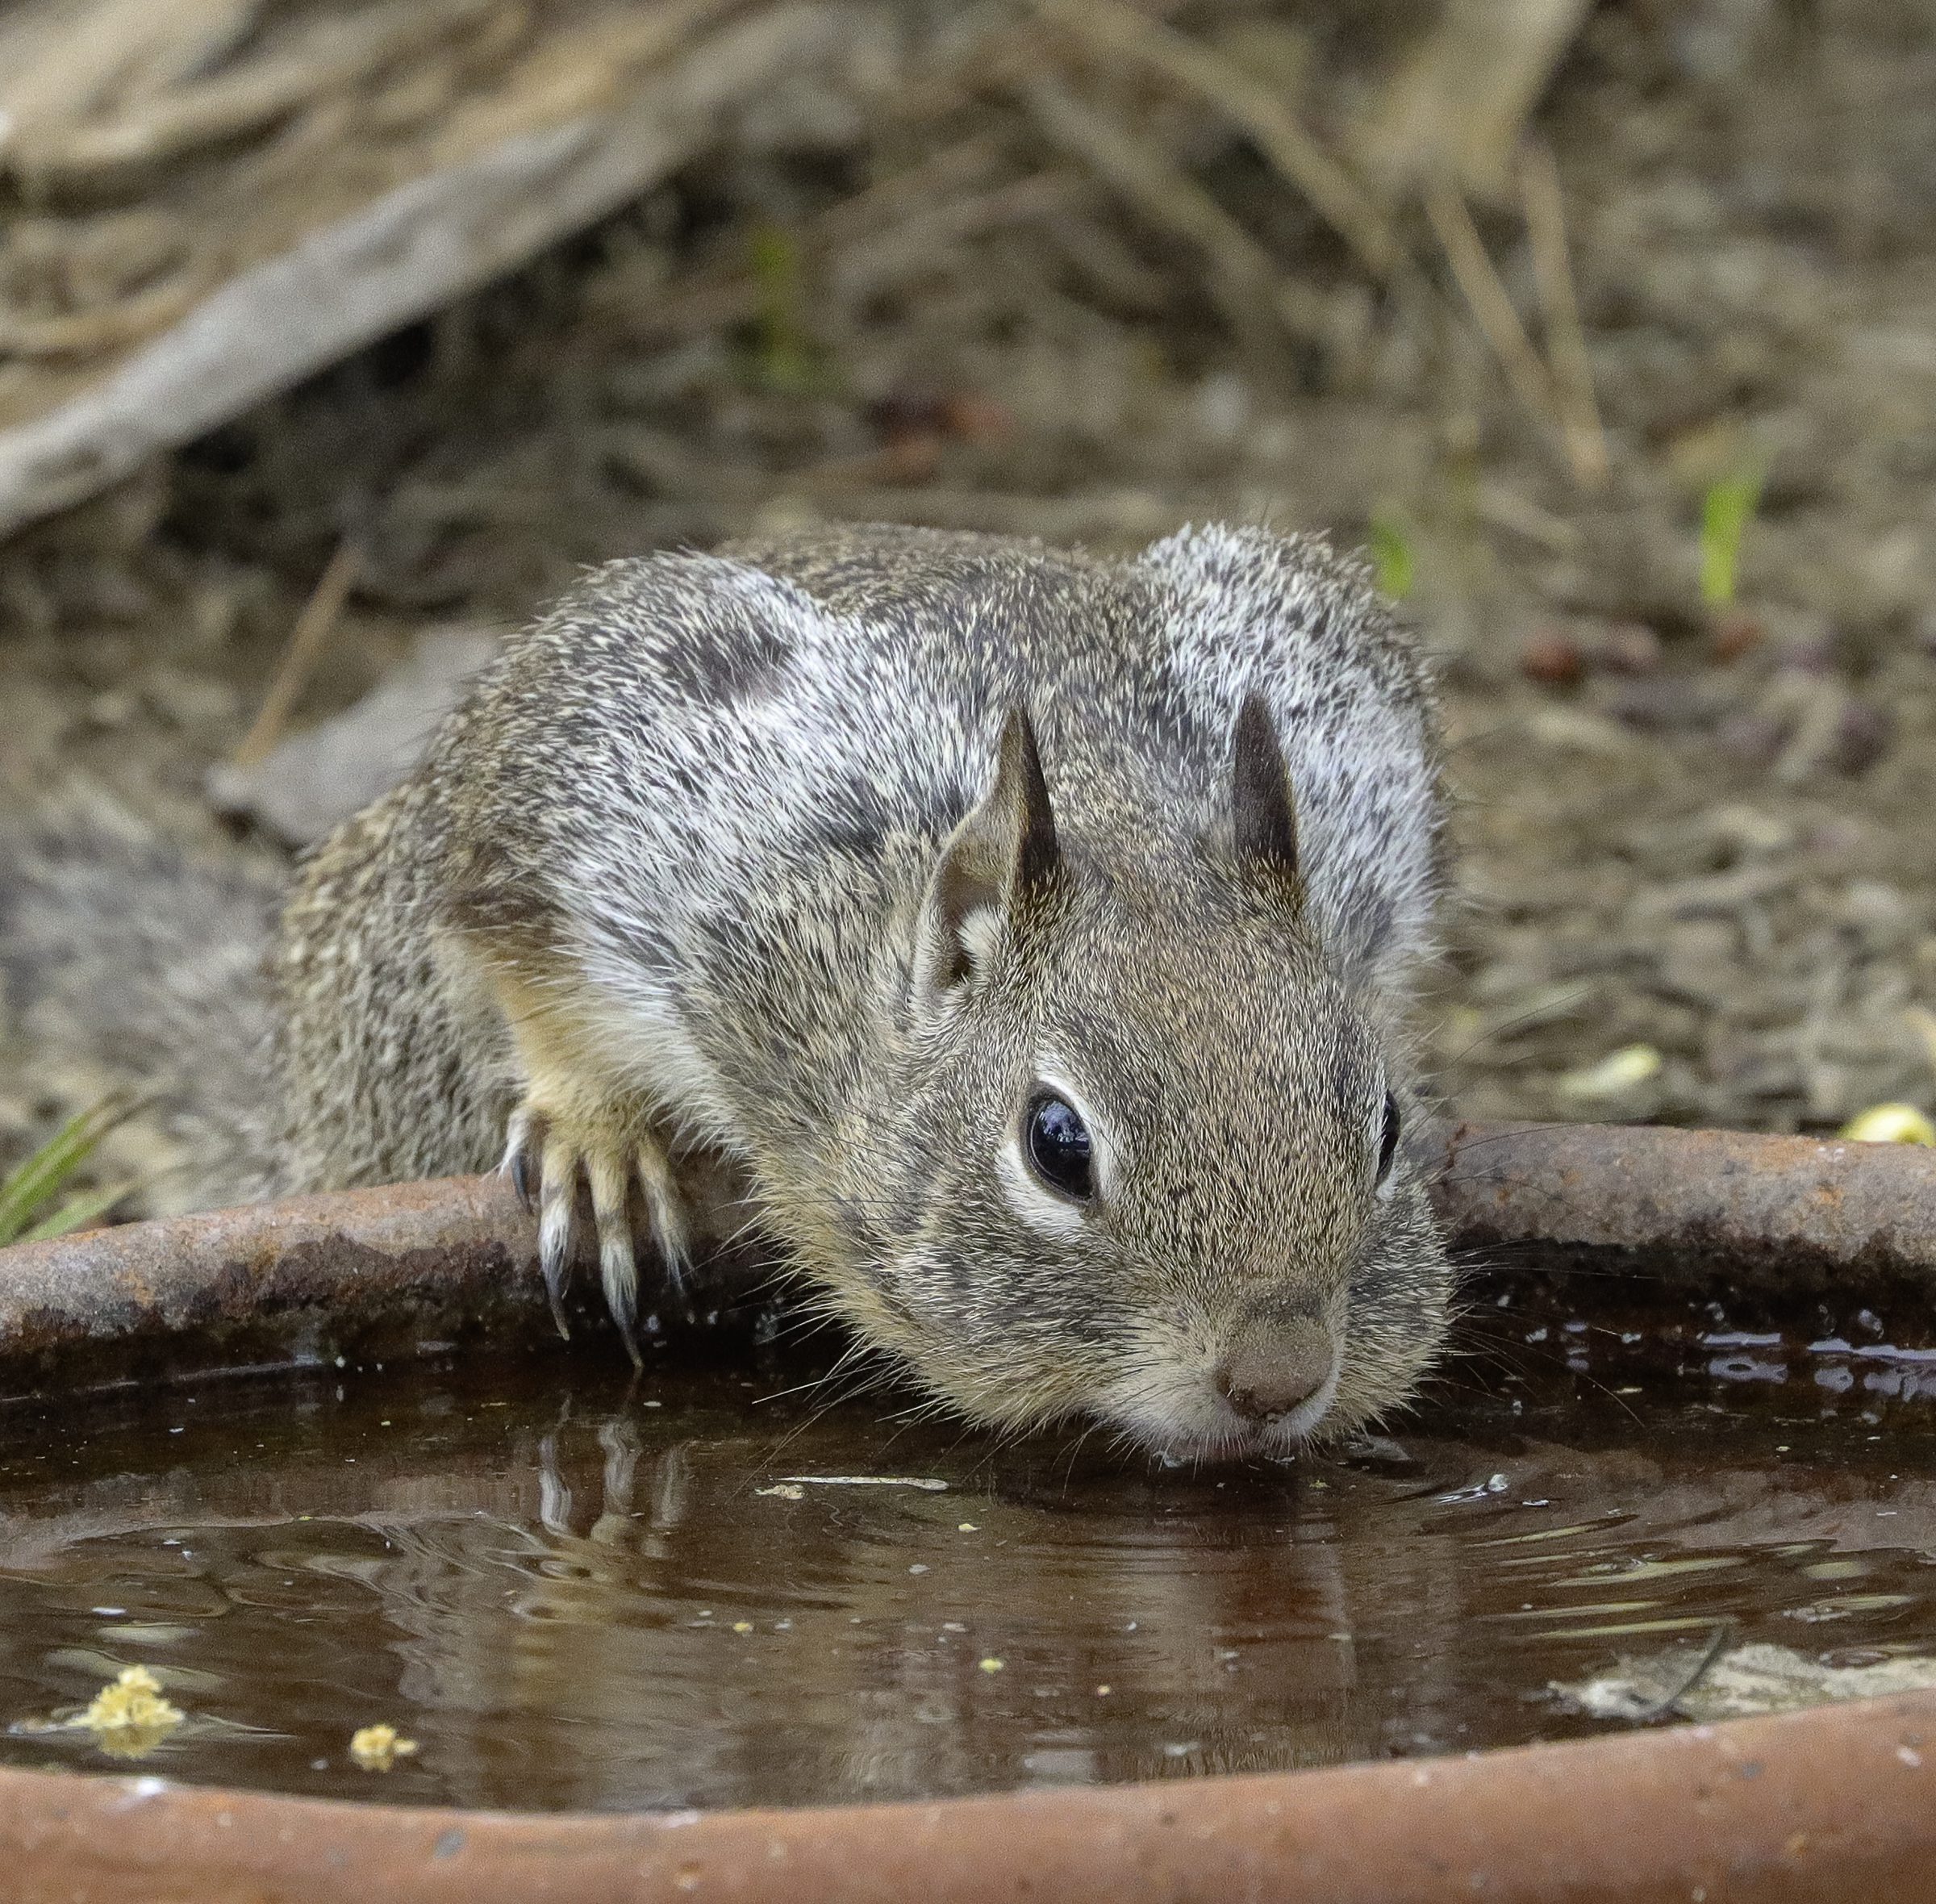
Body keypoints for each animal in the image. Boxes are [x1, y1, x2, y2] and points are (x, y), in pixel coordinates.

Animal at [3, 522, 1451, 1459]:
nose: (1277, 1377)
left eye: (1388, 1127)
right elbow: (525, 958)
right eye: (1057, 1145)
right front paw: (597, 1144)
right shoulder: (609, 777)